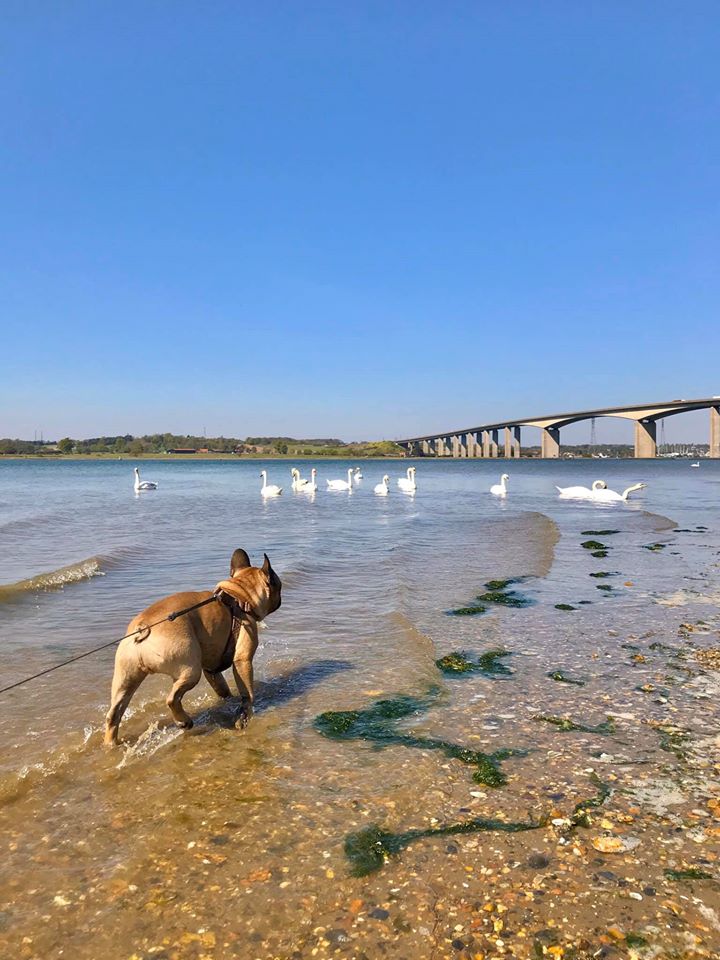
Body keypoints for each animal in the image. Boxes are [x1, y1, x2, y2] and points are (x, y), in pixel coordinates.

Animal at [104, 550, 281, 745]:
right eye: (278, 585)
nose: (280, 598)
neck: (240, 596)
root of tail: (143, 627)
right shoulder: (243, 658)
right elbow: (247, 692)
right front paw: (245, 714)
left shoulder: (211, 668)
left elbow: (221, 687)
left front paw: (229, 699)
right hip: (190, 670)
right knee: (172, 698)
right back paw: (184, 721)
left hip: (125, 678)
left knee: (114, 713)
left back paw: (111, 743)